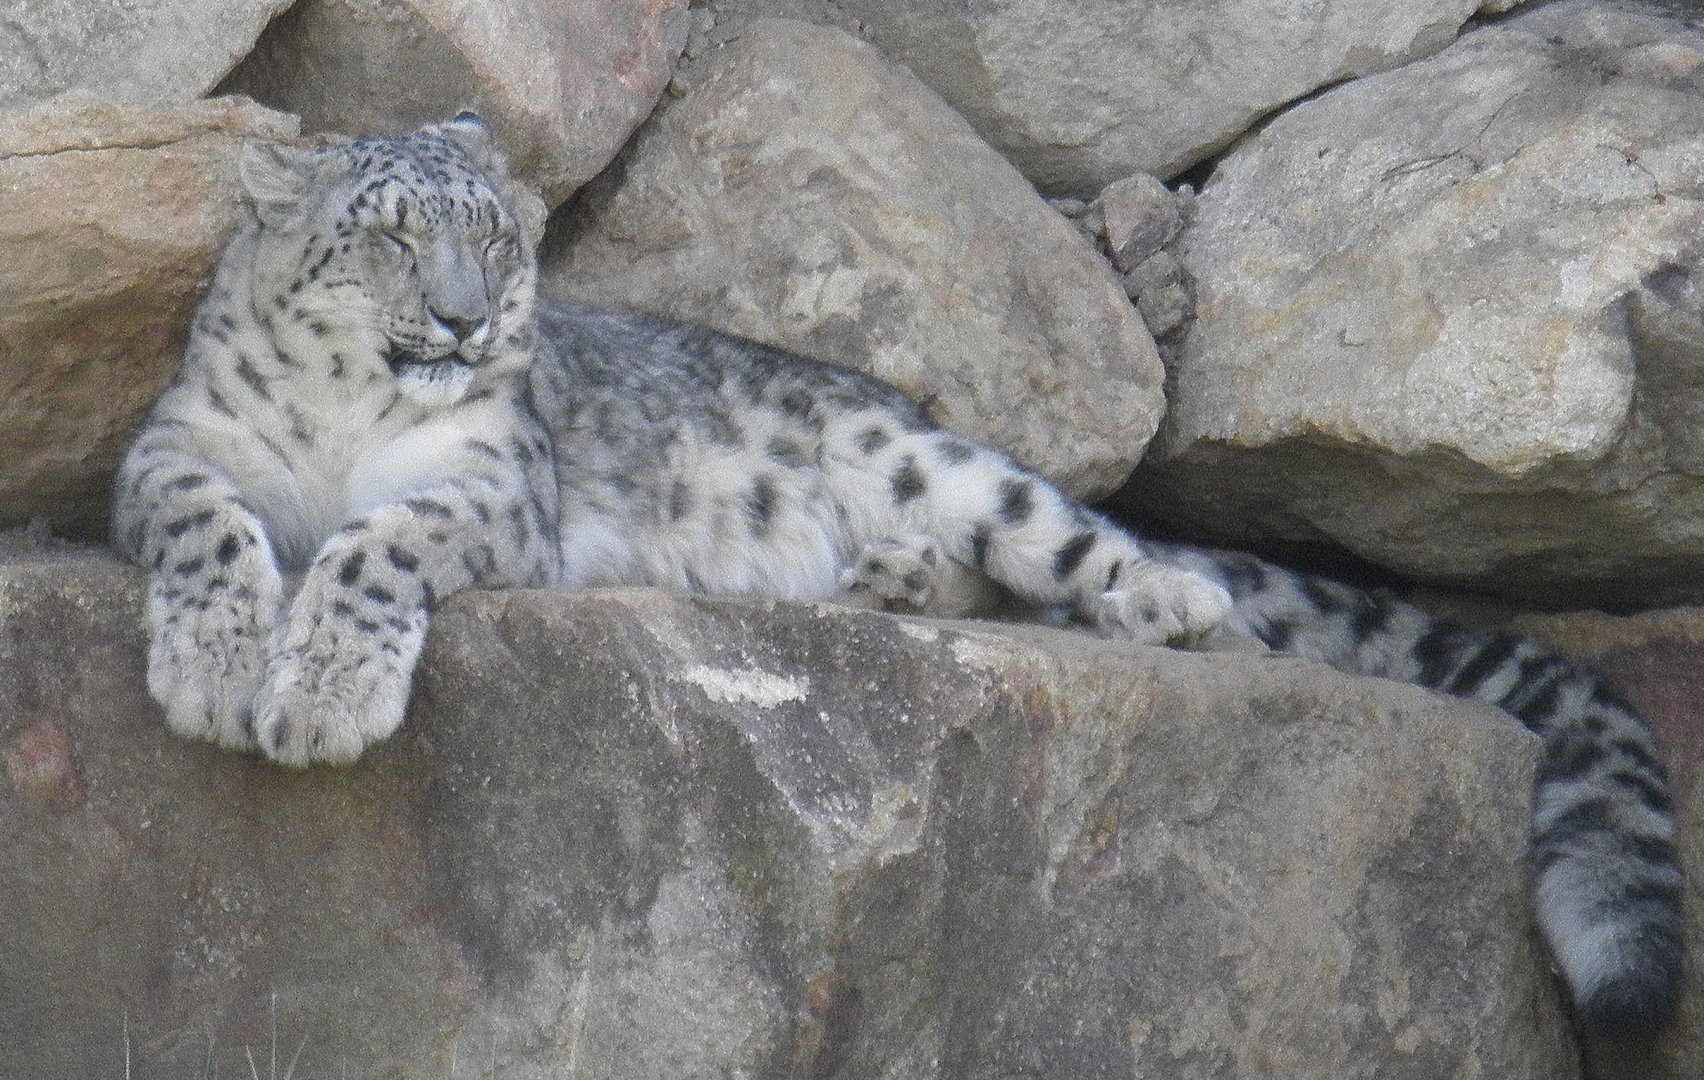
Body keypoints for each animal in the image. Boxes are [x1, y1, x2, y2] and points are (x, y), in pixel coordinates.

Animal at [112, 115, 1682, 1037]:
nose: (463, 316)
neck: (342, 421)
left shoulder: (494, 489)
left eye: (494, 233)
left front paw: (312, 697)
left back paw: (1166, 601)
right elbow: (208, 528)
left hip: (948, 468)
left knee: (1069, 547)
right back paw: (879, 584)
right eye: (386, 236)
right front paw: (219, 669)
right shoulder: (171, 454)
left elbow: (379, 544)